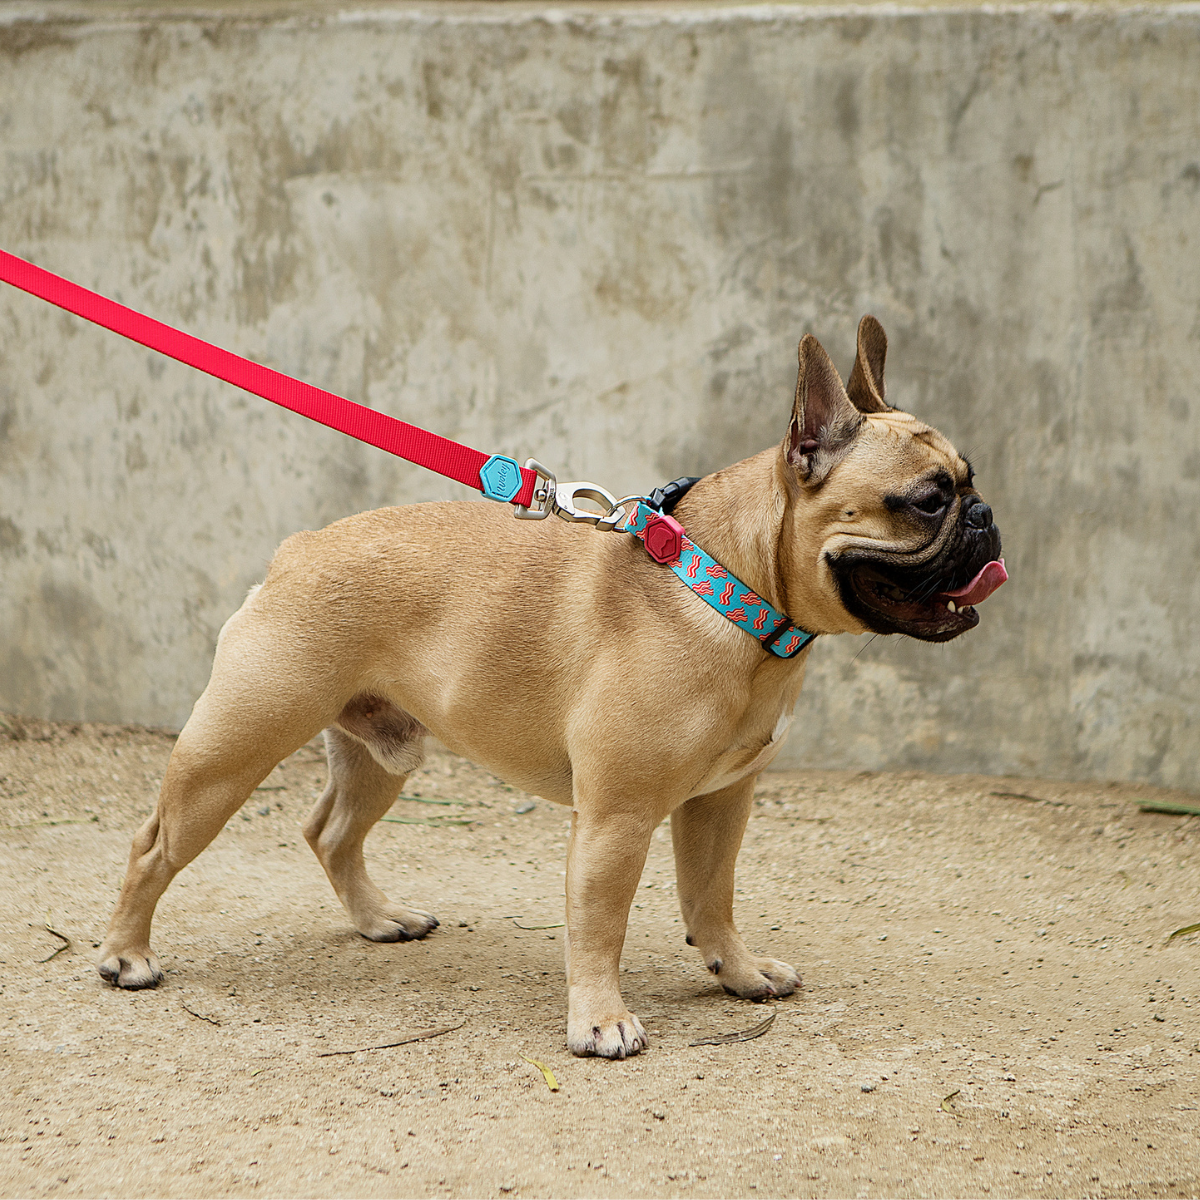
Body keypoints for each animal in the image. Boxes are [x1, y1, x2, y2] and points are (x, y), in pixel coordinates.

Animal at [98, 319, 1003, 1060]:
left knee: (331, 832)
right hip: (233, 746)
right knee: (154, 845)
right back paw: (125, 956)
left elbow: (712, 897)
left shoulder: (722, 802)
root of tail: (298, 547)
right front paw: (600, 1021)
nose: (986, 515)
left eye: (969, 481)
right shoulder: (617, 817)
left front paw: (739, 973)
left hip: (381, 753)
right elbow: (600, 922)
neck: (732, 589)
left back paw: (379, 919)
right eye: (926, 501)